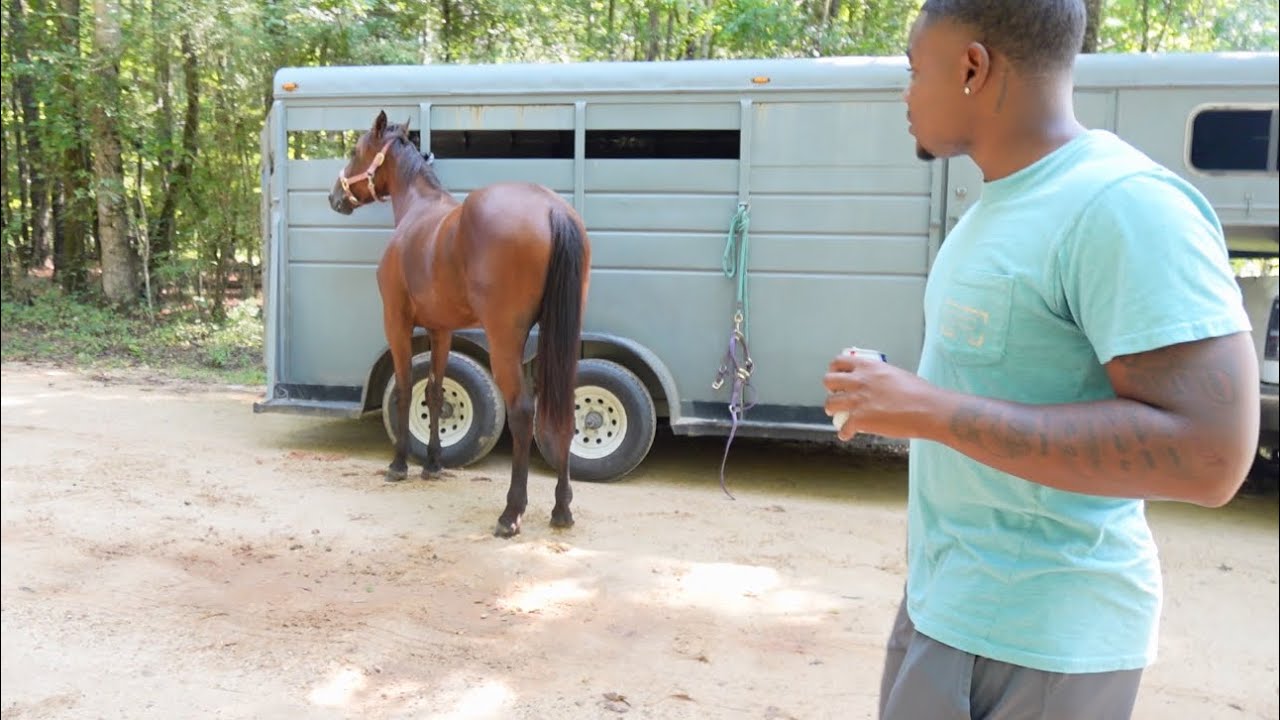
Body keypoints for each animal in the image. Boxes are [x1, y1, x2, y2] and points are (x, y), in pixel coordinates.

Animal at [328, 110, 591, 538]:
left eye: (355, 150)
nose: (335, 197)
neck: (418, 212)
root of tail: (553, 210)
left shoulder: (396, 322)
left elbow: (405, 390)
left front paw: (399, 465)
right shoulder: (441, 329)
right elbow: (435, 392)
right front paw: (433, 464)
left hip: (505, 339)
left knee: (523, 411)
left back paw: (511, 513)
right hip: (561, 338)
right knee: (562, 411)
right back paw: (561, 509)